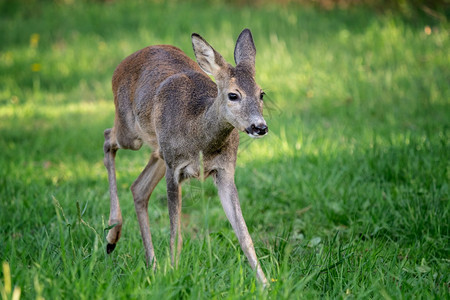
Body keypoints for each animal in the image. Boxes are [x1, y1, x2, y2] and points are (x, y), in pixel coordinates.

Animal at [103, 29, 268, 284]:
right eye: (233, 95)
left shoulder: (225, 171)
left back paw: (151, 265)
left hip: (160, 150)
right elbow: (175, 234)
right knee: (107, 138)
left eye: (262, 93)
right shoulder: (174, 170)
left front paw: (266, 284)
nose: (260, 127)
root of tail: (123, 63)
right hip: (131, 133)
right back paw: (112, 237)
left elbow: (244, 235)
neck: (198, 137)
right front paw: (173, 273)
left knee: (138, 187)